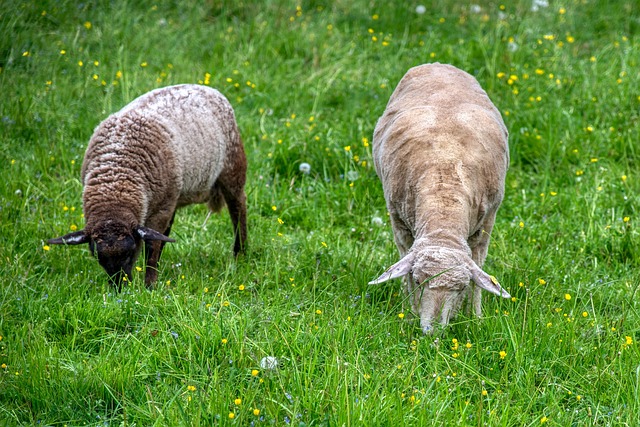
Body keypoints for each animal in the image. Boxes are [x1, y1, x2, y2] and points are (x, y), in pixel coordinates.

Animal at [47, 84, 248, 290]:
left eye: (129, 252)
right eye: (98, 257)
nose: (119, 288)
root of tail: (205, 87)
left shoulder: (159, 210)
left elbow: (151, 247)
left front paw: (150, 285)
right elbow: (157, 240)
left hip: (231, 166)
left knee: (238, 207)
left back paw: (240, 253)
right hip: (174, 195)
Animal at [368, 63, 512, 334]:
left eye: (460, 287)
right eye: (418, 280)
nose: (432, 331)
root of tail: (438, 64)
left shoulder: (487, 221)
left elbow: (479, 269)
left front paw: (474, 316)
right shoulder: (398, 221)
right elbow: (404, 264)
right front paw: (411, 312)